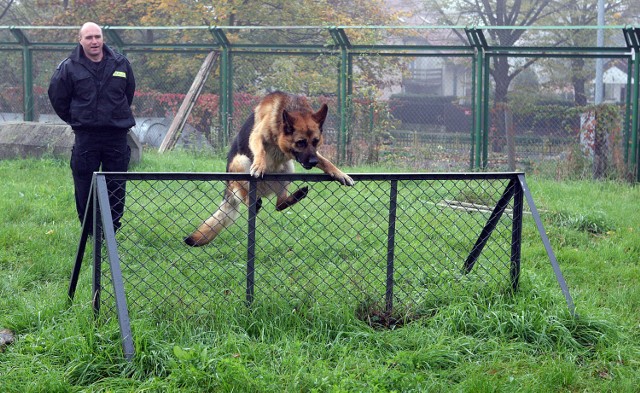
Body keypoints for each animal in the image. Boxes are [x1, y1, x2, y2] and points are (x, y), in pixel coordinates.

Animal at [185, 90, 356, 247]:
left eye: (315, 141)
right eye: (300, 142)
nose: (313, 162)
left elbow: (326, 161)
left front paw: (340, 173)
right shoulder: (256, 136)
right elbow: (260, 150)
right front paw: (259, 165)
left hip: (288, 168)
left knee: (279, 204)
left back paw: (298, 194)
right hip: (241, 162)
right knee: (248, 199)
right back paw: (255, 200)